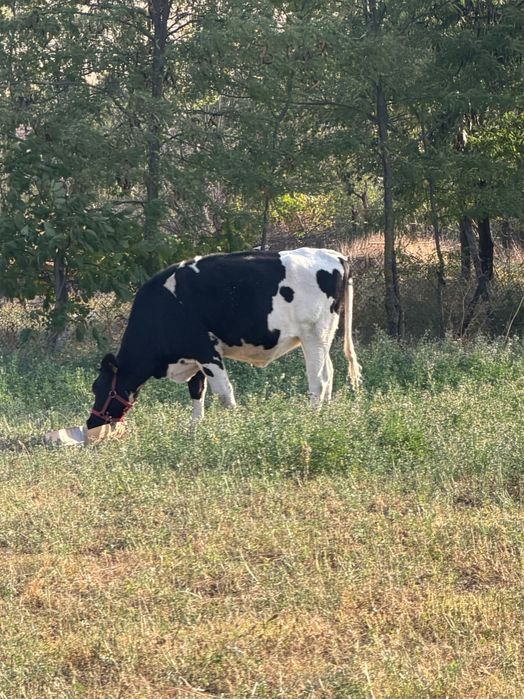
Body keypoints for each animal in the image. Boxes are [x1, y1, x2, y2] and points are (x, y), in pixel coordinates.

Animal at [87, 247, 361, 427]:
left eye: (98, 387)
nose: (91, 423)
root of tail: (336, 256)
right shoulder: (194, 356)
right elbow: (197, 391)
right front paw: (195, 428)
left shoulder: (206, 351)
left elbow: (223, 393)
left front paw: (233, 425)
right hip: (323, 335)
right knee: (329, 372)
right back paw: (325, 414)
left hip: (313, 333)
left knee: (318, 380)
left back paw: (312, 418)